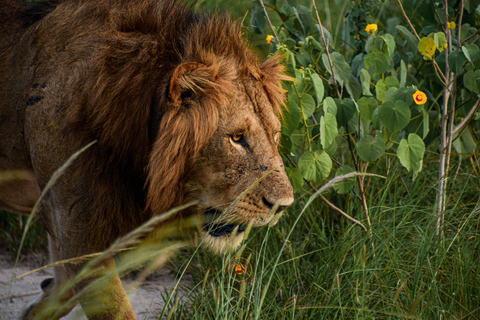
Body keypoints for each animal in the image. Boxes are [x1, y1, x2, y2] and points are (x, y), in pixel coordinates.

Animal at [0, 0, 294, 318]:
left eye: (275, 135)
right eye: (237, 138)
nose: (283, 206)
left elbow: (64, 287)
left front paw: (36, 307)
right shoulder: (77, 231)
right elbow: (112, 306)